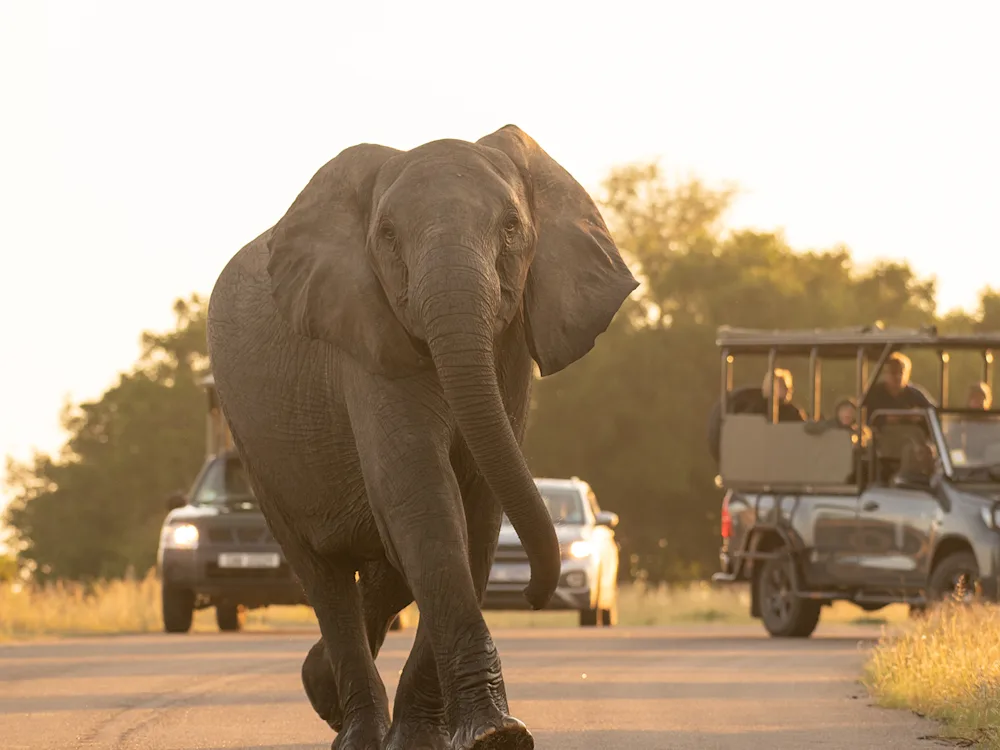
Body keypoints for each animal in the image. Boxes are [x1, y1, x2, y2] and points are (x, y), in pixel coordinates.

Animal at [205, 124, 638, 750]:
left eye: (512, 227)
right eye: (387, 236)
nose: (533, 594)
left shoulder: (508, 349)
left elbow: (476, 508)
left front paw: (456, 737)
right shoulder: (363, 336)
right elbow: (423, 495)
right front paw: (496, 736)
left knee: (384, 572)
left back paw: (323, 692)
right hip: (254, 442)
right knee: (323, 575)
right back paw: (354, 732)